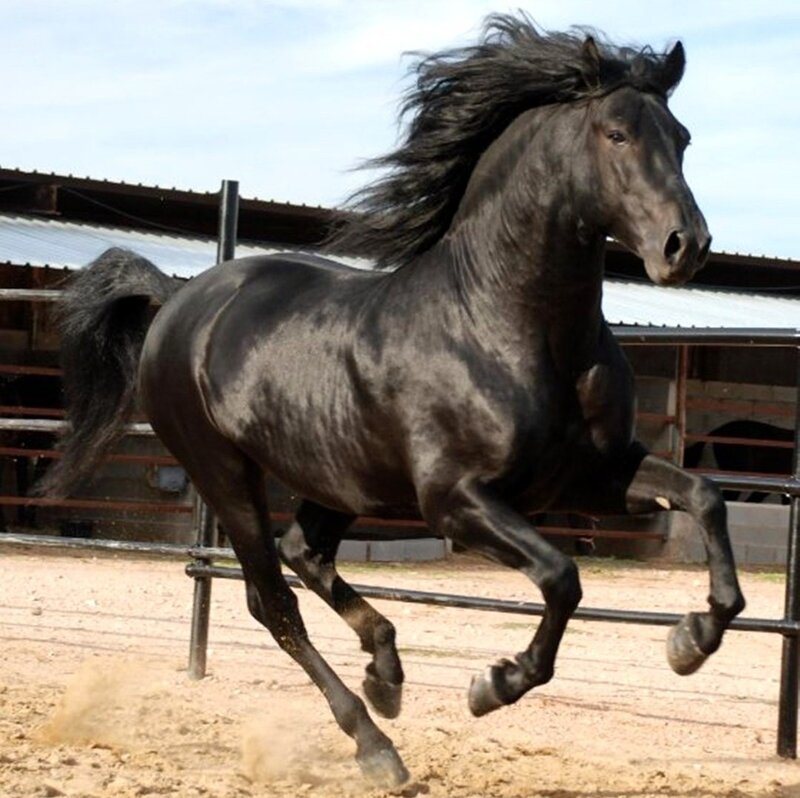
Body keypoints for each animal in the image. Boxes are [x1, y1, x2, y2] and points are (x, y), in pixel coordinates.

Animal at [39, 14, 745, 787]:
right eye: (616, 133)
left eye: (681, 137)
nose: (685, 245)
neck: (503, 322)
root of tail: (176, 299)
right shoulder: (455, 500)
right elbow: (563, 577)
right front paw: (493, 684)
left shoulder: (590, 476)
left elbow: (705, 498)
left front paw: (692, 640)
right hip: (224, 475)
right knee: (273, 601)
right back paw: (375, 743)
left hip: (340, 476)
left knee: (305, 554)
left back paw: (386, 670)